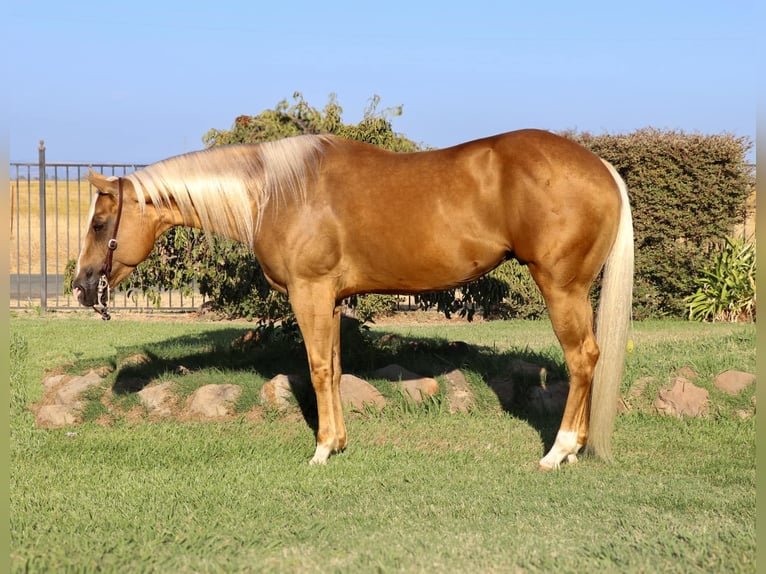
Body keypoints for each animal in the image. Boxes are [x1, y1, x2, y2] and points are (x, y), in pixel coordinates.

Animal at [72, 129, 633, 470]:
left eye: (100, 224)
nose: (81, 286)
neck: (277, 191)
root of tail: (602, 168)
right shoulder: (334, 299)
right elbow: (337, 367)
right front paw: (339, 442)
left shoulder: (310, 292)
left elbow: (319, 367)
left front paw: (322, 449)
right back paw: (576, 450)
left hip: (561, 287)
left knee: (582, 359)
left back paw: (559, 451)